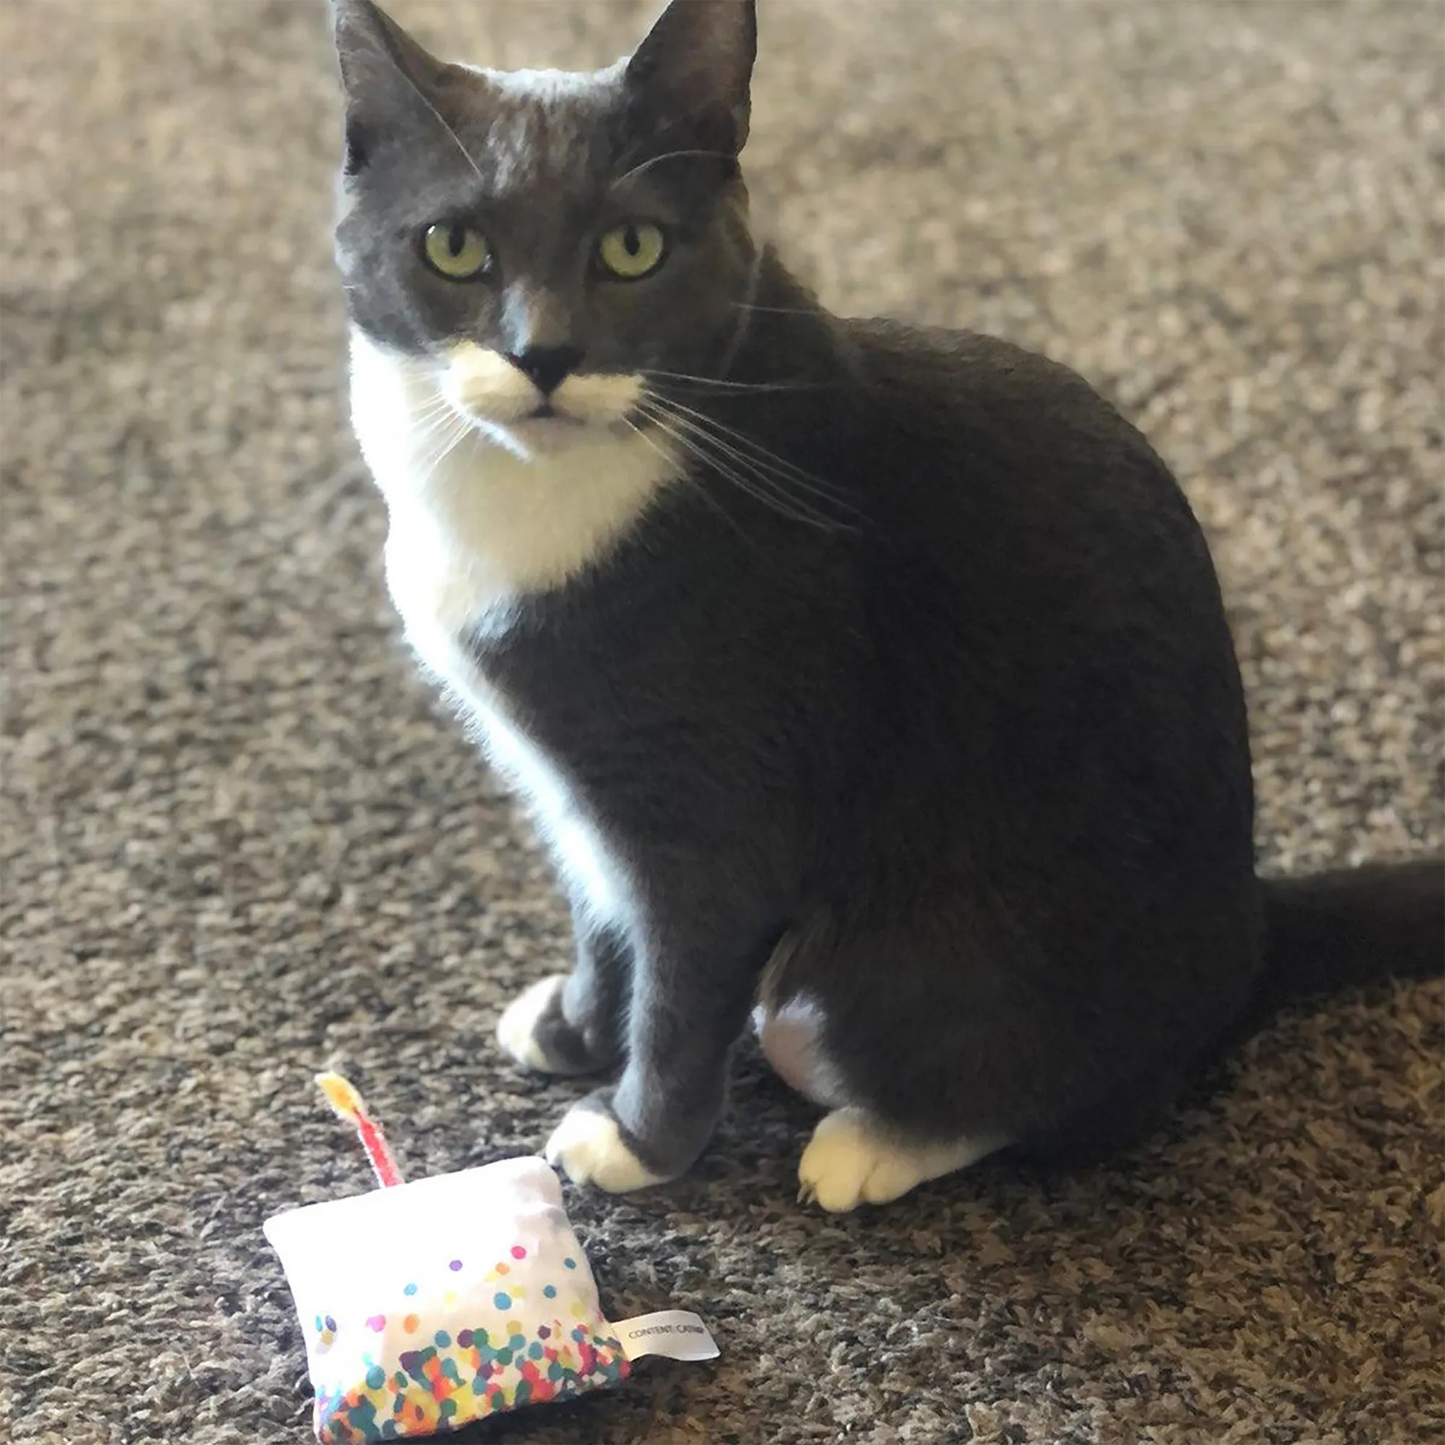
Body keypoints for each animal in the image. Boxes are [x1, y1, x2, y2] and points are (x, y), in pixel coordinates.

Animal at [328, 0, 1445, 1213]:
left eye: (632, 247)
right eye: (453, 246)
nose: (545, 353)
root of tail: (1246, 930)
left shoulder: (714, 801)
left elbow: (680, 984)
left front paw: (635, 1140)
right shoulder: (573, 792)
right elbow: (601, 910)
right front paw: (576, 1026)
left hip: (901, 975)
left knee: (1059, 1104)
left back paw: (869, 1146)